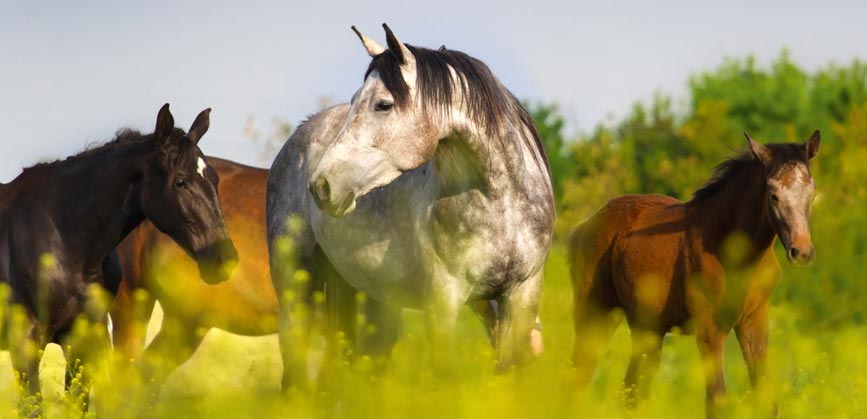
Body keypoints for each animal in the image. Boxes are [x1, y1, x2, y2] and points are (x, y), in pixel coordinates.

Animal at [266, 24, 554, 389]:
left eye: (383, 104)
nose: (321, 186)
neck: (500, 203)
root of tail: (301, 133)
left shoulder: (521, 295)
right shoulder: (443, 303)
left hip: (370, 297)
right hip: (295, 286)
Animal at [568, 131, 820, 417]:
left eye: (811, 192)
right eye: (774, 195)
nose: (802, 252)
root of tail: (587, 224)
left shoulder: (754, 323)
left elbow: (767, 401)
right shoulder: (709, 329)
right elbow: (717, 402)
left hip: (647, 327)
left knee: (632, 392)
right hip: (595, 314)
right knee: (578, 379)